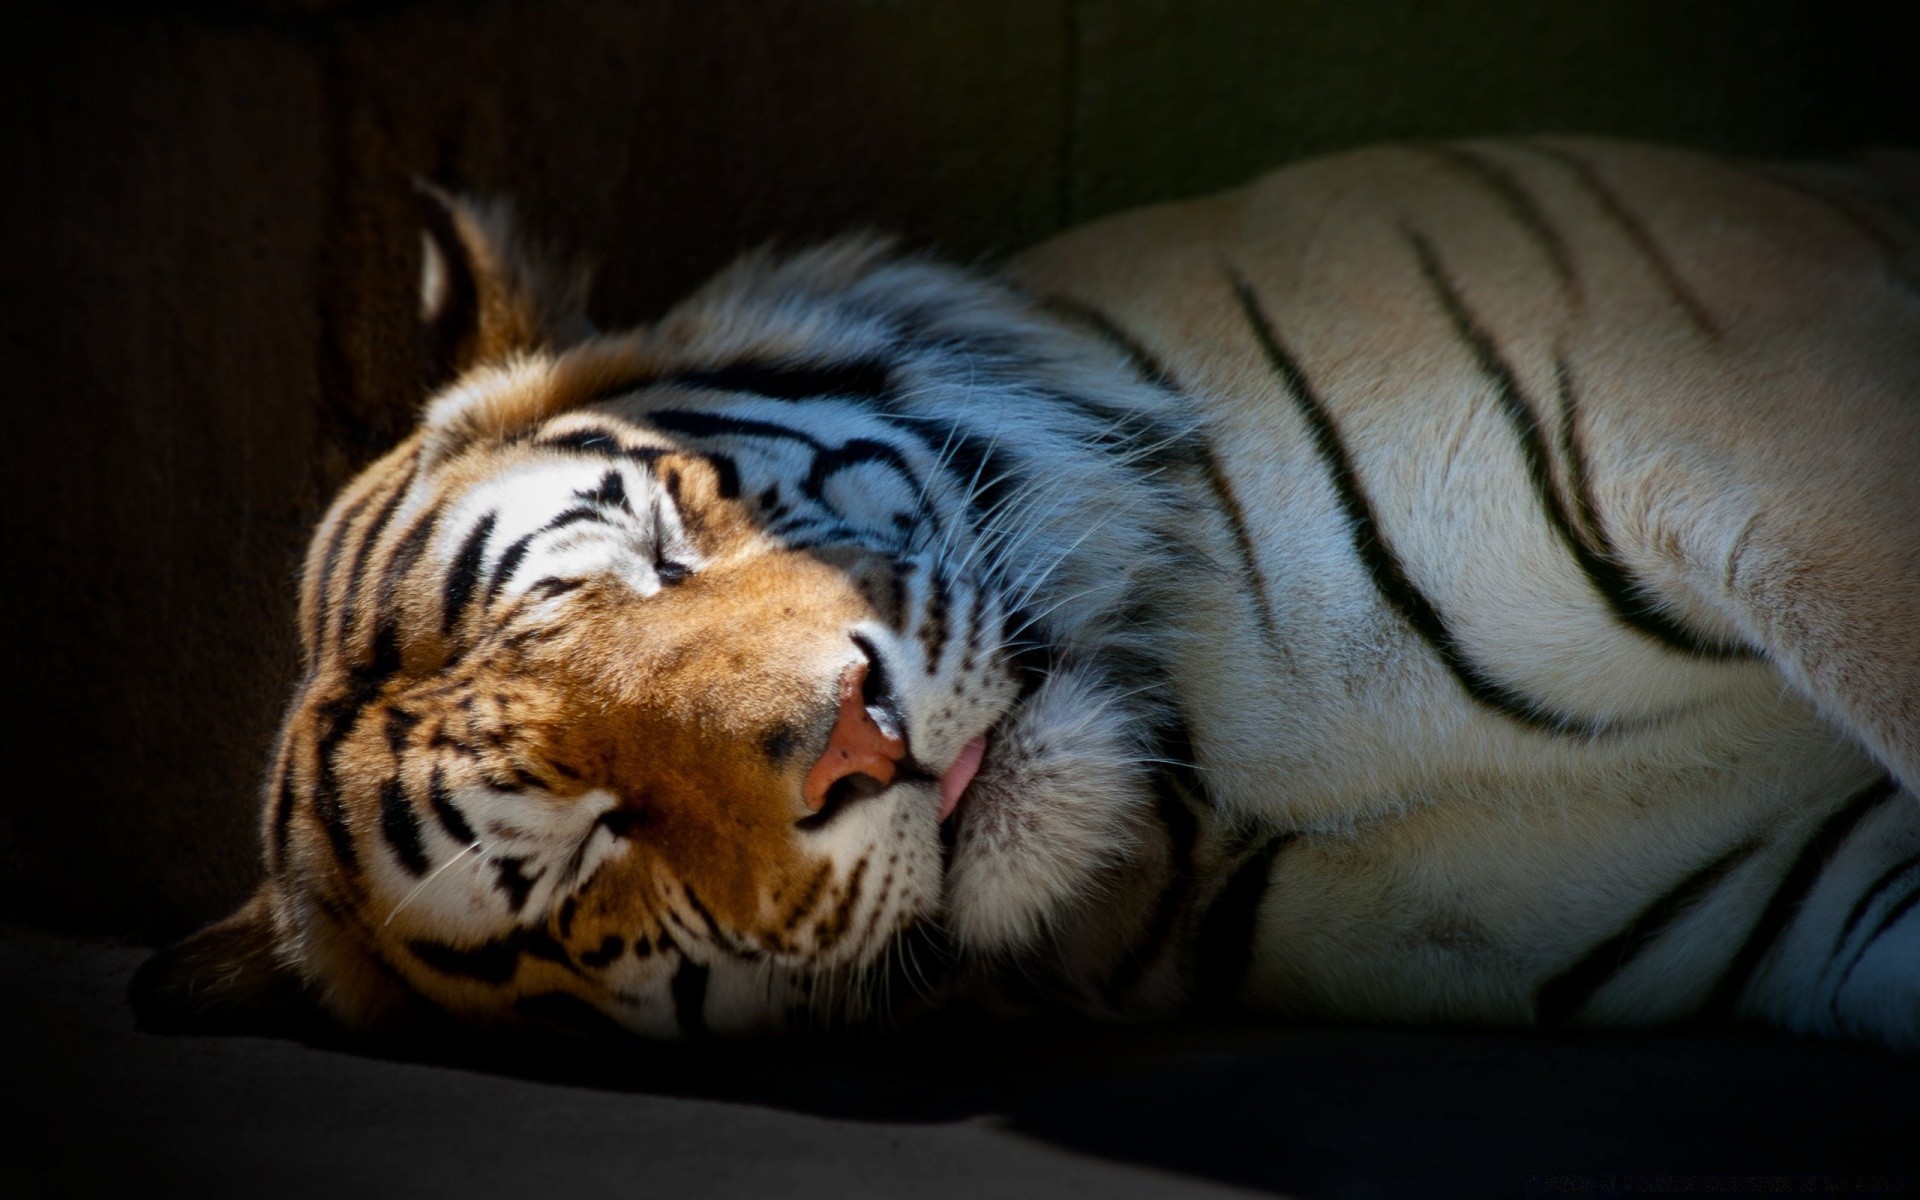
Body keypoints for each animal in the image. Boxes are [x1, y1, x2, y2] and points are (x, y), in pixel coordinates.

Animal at [135, 135, 1920, 1044]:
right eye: (585, 847)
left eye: (662, 542)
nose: (857, 740)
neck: (1228, 749)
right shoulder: (1802, 902)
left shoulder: (1774, 419)